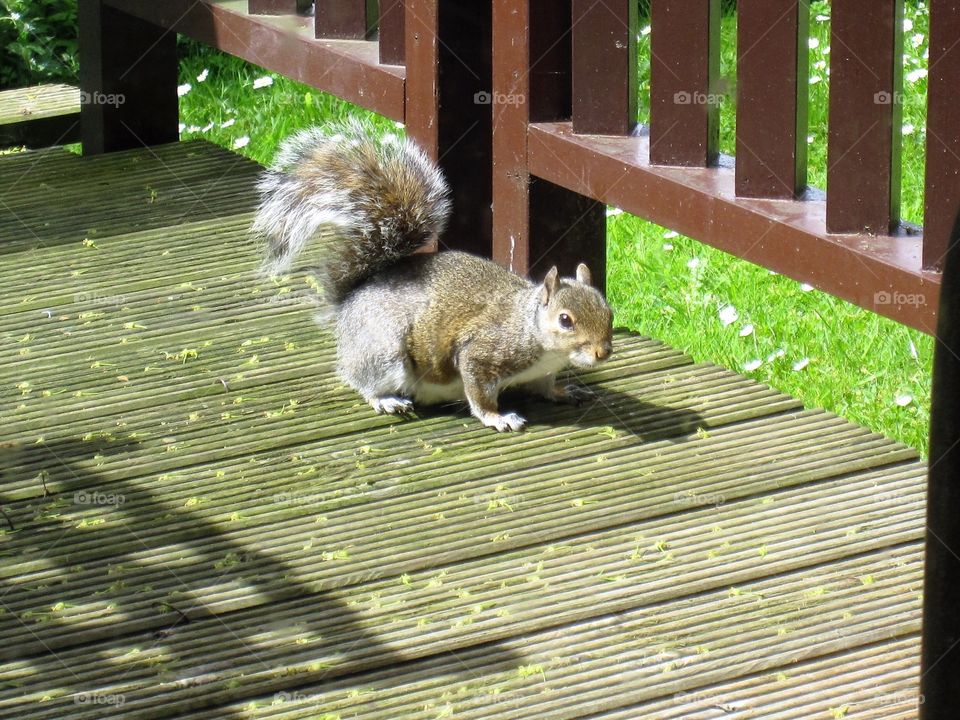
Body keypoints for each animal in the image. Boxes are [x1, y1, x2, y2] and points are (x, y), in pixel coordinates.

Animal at [253, 120, 613, 432]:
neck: (533, 331)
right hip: (384, 352)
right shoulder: (480, 354)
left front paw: (564, 393)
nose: (603, 352)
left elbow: (545, 387)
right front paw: (497, 417)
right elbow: (480, 394)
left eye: (608, 311)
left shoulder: (542, 372)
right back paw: (385, 400)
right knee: (362, 381)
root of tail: (350, 301)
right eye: (565, 320)